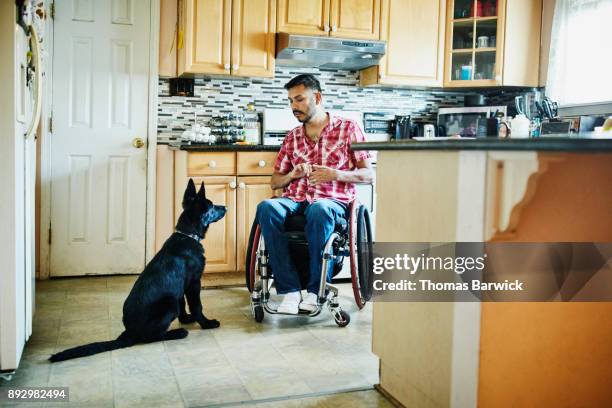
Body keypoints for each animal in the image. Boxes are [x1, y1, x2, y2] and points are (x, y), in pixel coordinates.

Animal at [47, 180, 225, 362]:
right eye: (212, 206)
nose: (225, 207)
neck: (188, 235)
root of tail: (129, 333)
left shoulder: (180, 285)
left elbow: (183, 303)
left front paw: (186, 319)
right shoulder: (194, 282)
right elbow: (197, 306)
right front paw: (206, 323)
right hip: (169, 303)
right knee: (151, 337)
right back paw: (177, 333)